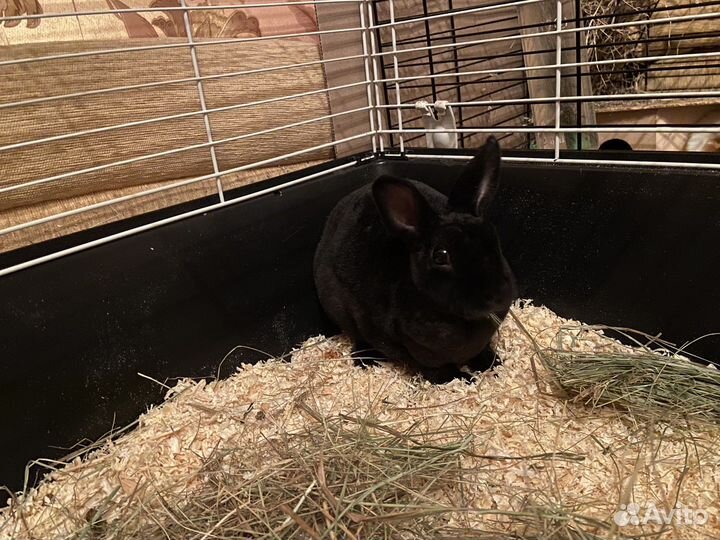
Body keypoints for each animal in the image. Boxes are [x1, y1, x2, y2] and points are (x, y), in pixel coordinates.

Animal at [313, 136, 516, 383]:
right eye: (440, 256)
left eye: (493, 237)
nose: (497, 294)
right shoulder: (419, 353)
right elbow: (441, 372)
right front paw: (467, 380)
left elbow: (484, 353)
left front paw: (494, 365)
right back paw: (365, 360)